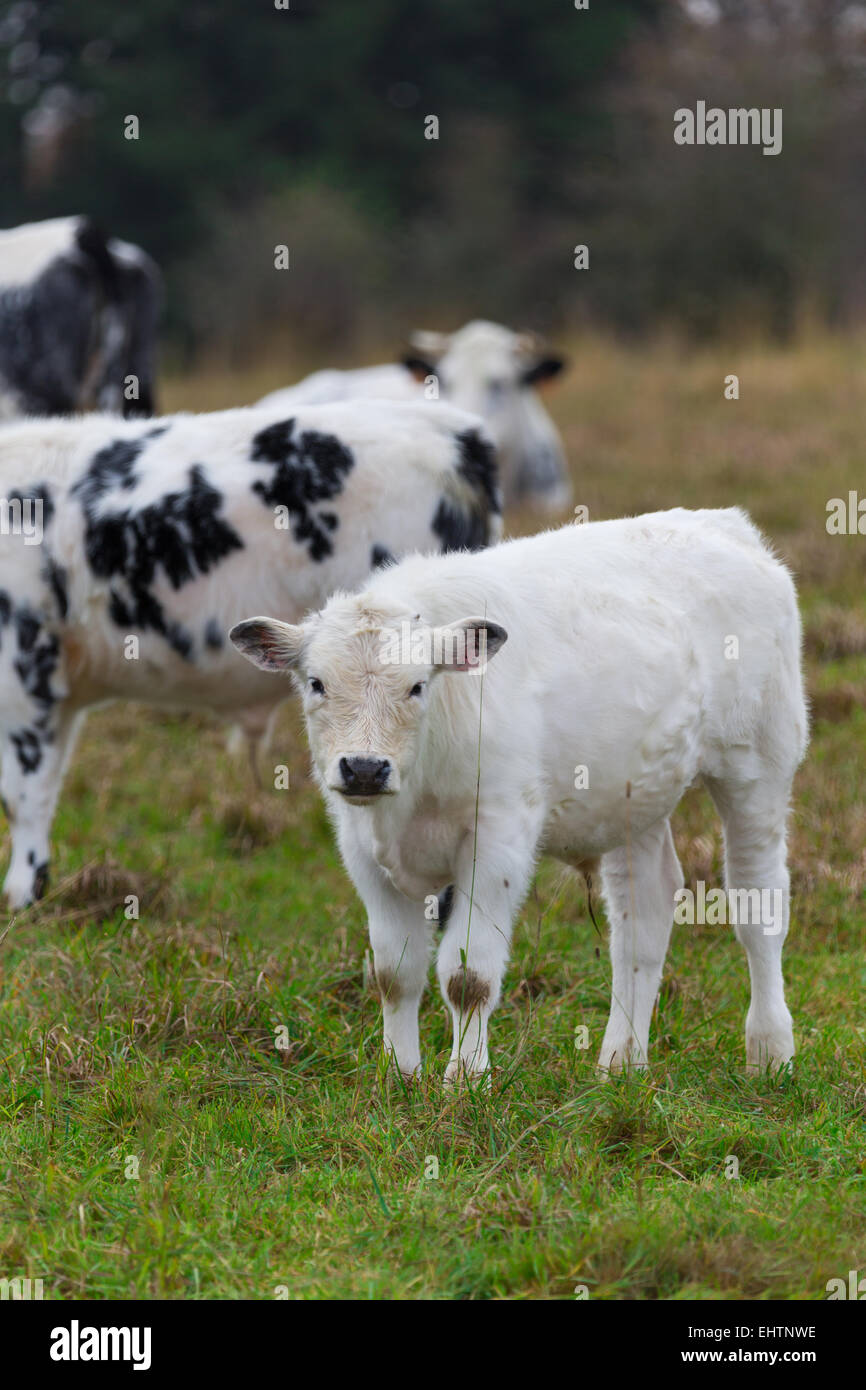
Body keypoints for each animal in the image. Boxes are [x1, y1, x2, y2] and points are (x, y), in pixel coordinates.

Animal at [231, 507, 808, 1085]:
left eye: (418, 685)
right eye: (316, 683)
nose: (366, 768)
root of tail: (721, 523)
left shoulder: (498, 840)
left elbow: (468, 976)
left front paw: (466, 1080)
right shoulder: (362, 849)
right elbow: (395, 973)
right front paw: (399, 1076)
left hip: (757, 764)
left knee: (758, 906)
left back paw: (770, 1051)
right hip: (636, 797)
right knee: (643, 916)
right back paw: (621, 1062)